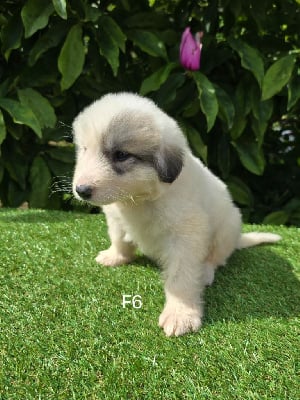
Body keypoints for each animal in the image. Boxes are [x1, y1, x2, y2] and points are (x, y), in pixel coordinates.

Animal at [72, 92, 282, 336]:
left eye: (121, 155)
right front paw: (115, 256)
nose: (81, 190)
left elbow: (181, 277)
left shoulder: (187, 236)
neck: (140, 199)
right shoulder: (116, 218)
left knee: (217, 258)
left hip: (227, 228)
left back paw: (206, 272)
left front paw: (181, 314)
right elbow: (119, 239)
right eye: (85, 149)